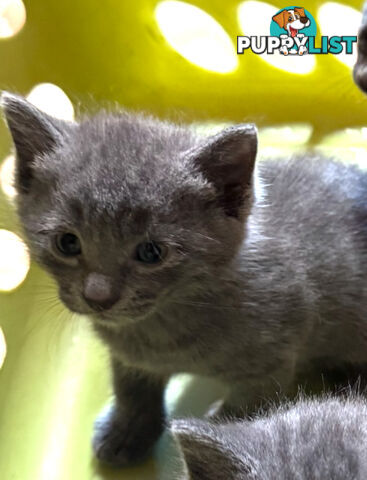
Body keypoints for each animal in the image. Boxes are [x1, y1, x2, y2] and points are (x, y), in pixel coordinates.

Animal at [2, 92, 367, 466]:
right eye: (67, 243)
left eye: (151, 252)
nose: (98, 297)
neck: (162, 327)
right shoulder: (128, 355)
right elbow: (130, 388)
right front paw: (127, 430)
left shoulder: (273, 359)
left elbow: (246, 407)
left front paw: (219, 436)